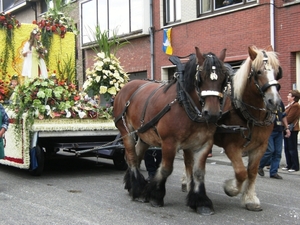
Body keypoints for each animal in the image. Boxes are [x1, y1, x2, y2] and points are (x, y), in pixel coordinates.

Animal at [113, 46, 229, 213]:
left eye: (224, 78)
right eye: (200, 77)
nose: (212, 113)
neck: (185, 105)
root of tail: (127, 87)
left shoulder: (204, 144)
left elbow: (198, 172)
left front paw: (201, 201)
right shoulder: (169, 142)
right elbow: (166, 168)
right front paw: (155, 195)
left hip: (144, 134)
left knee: (137, 154)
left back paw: (132, 186)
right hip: (126, 132)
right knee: (132, 157)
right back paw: (138, 190)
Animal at [183, 45, 282, 214]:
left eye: (277, 72)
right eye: (258, 72)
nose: (274, 101)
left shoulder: (260, 146)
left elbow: (252, 171)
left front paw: (250, 199)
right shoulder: (231, 146)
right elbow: (241, 172)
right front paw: (231, 188)